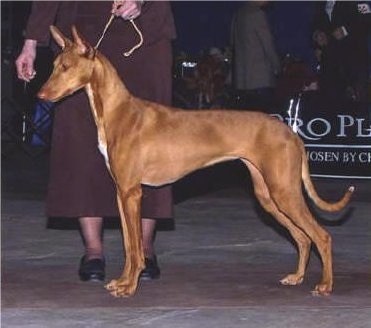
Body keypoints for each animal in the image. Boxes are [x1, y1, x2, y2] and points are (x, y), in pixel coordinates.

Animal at [37, 25, 354, 298]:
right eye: (54, 65)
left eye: (65, 67)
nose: (40, 94)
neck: (117, 111)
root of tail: (291, 131)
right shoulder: (121, 193)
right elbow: (128, 244)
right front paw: (123, 281)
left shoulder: (132, 193)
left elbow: (137, 247)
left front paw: (130, 287)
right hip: (268, 195)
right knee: (302, 237)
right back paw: (297, 277)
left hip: (284, 191)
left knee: (321, 236)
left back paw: (325, 285)